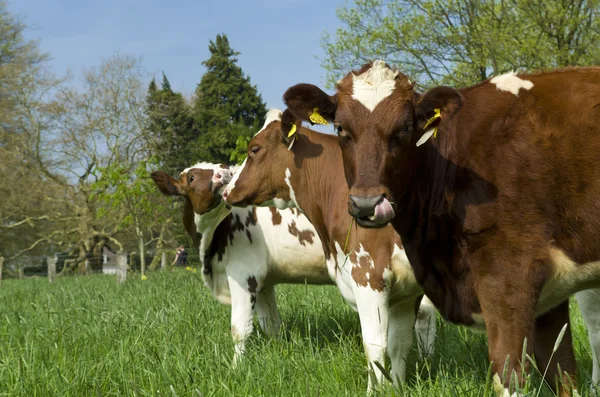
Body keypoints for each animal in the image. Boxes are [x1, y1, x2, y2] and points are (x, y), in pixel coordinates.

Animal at [149, 162, 328, 364]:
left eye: (223, 166)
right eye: (191, 177)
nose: (225, 174)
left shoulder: (244, 274)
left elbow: (239, 329)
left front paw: (237, 366)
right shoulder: (264, 283)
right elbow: (271, 325)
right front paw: (280, 354)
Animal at [223, 108, 438, 390]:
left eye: (254, 149)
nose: (227, 191)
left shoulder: (369, 277)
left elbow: (375, 347)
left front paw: (376, 392)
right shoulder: (406, 291)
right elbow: (399, 344)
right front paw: (397, 389)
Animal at [284, 60, 600, 394]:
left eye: (405, 128)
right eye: (340, 128)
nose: (367, 204)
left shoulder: (512, 274)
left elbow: (509, 370)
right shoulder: (549, 298)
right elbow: (561, 370)